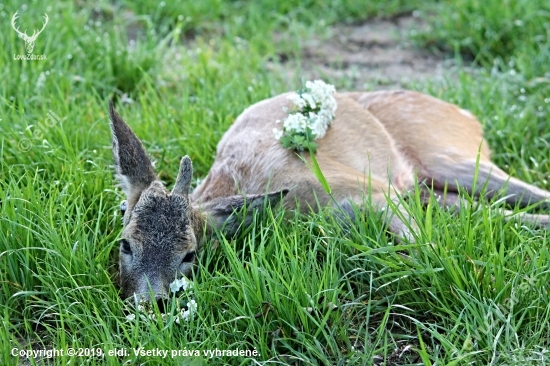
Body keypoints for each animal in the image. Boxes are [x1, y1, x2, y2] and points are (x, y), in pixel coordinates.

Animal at [109, 88, 550, 300]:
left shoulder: (371, 189)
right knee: (484, 209)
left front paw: (467, 277)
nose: (150, 304)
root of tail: (466, 115)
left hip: (448, 154)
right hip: (431, 188)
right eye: (125, 244)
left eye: (190, 255)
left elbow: (422, 247)